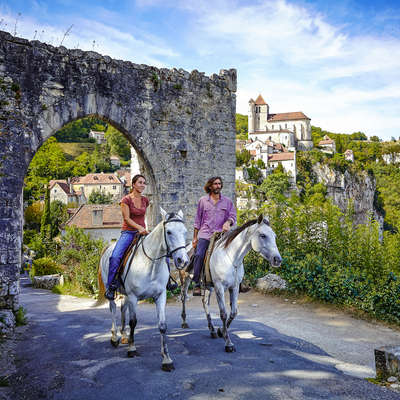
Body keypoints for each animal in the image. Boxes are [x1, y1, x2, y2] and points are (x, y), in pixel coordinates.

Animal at [97, 208, 190, 370]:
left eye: (184, 232)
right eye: (169, 232)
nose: (182, 261)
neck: (150, 264)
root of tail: (108, 247)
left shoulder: (160, 296)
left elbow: (162, 325)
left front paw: (166, 359)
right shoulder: (134, 296)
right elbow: (133, 322)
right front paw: (132, 349)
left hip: (125, 294)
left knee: (122, 308)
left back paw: (124, 336)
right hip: (112, 290)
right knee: (113, 308)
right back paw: (115, 337)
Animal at [180, 217, 280, 352]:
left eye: (274, 236)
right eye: (263, 235)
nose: (277, 259)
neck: (231, 258)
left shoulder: (235, 287)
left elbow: (234, 312)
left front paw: (221, 331)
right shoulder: (219, 287)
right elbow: (223, 313)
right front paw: (228, 343)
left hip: (208, 286)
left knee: (205, 303)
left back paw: (212, 330)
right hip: (185, 279)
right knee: (184, 297)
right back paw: (184, 322)